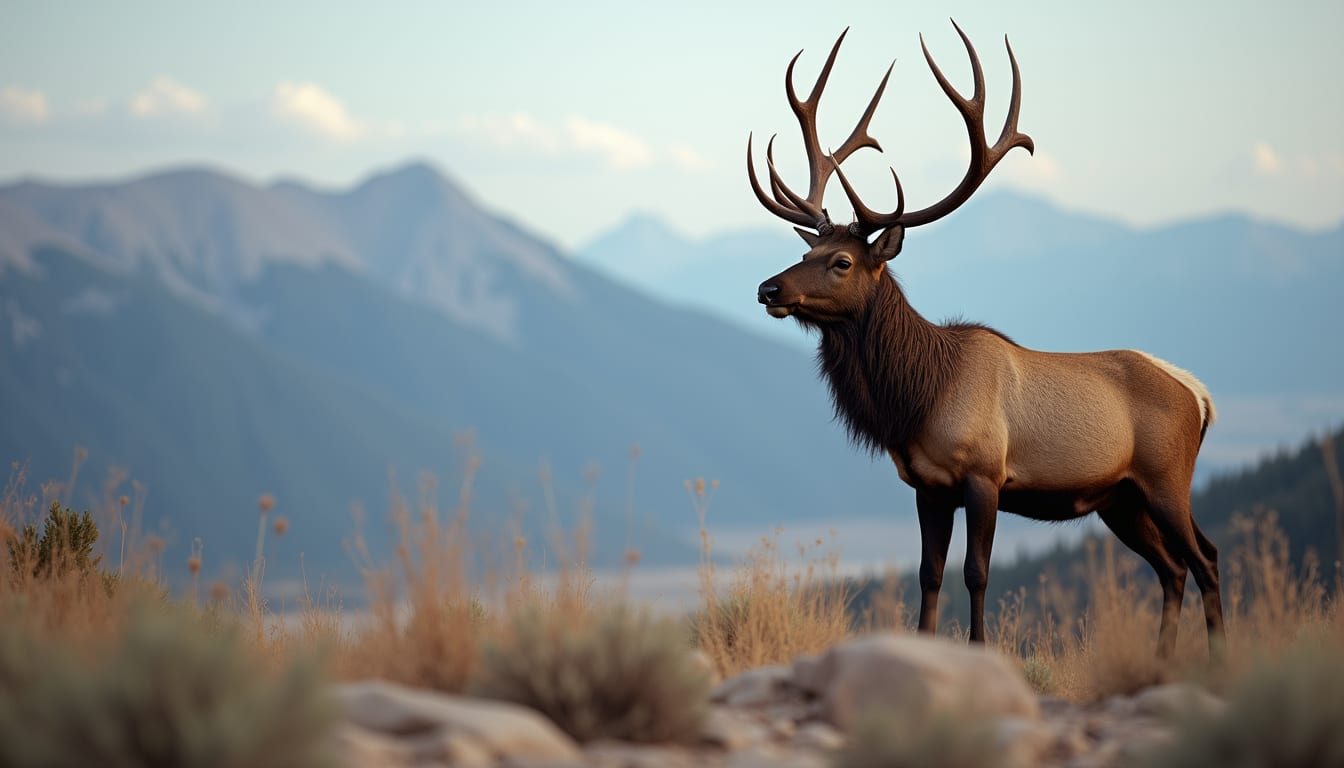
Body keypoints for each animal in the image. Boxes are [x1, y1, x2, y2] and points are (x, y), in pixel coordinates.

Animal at [749, 22, 1224, 658]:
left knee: (1206, 559)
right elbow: (929, 574)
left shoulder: (985, 475)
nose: (768, 288)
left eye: (842, 262)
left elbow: (976, 572)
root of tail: (1200, 397)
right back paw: (1163, 657)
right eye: (806, 253)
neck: (916, 399)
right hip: (1121, 500)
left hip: (1167, 479)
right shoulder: (926, 485)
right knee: (1172, 568)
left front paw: (979, 648)